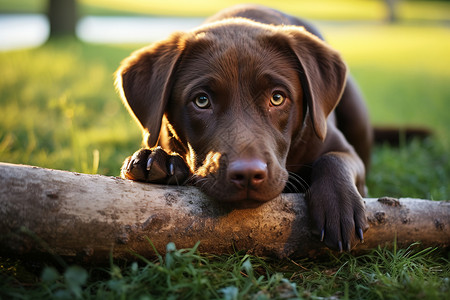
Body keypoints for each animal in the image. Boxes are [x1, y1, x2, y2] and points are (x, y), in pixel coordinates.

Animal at [116, 4, 372, 251]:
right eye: (202, 101)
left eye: (277, 98)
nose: (248, 174)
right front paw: (156, 159)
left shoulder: (333, 142)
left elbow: (335, 159)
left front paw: (339, 206)